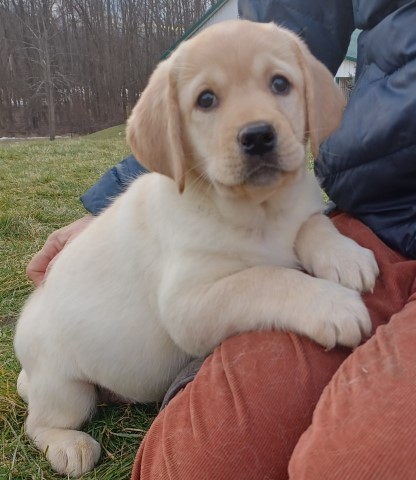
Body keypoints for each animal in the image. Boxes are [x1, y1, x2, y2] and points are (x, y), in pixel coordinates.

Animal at [13, 19, 376, 476]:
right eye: (206, 100)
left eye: (280, 83)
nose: (258, 136)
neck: (257, 211)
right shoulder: (188, 304)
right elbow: (268, 276)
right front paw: (334, 304)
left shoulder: (300, 212)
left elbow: (312, 225)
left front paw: (347, 257)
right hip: (65, 388)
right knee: (39, 423)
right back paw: (69, 446)